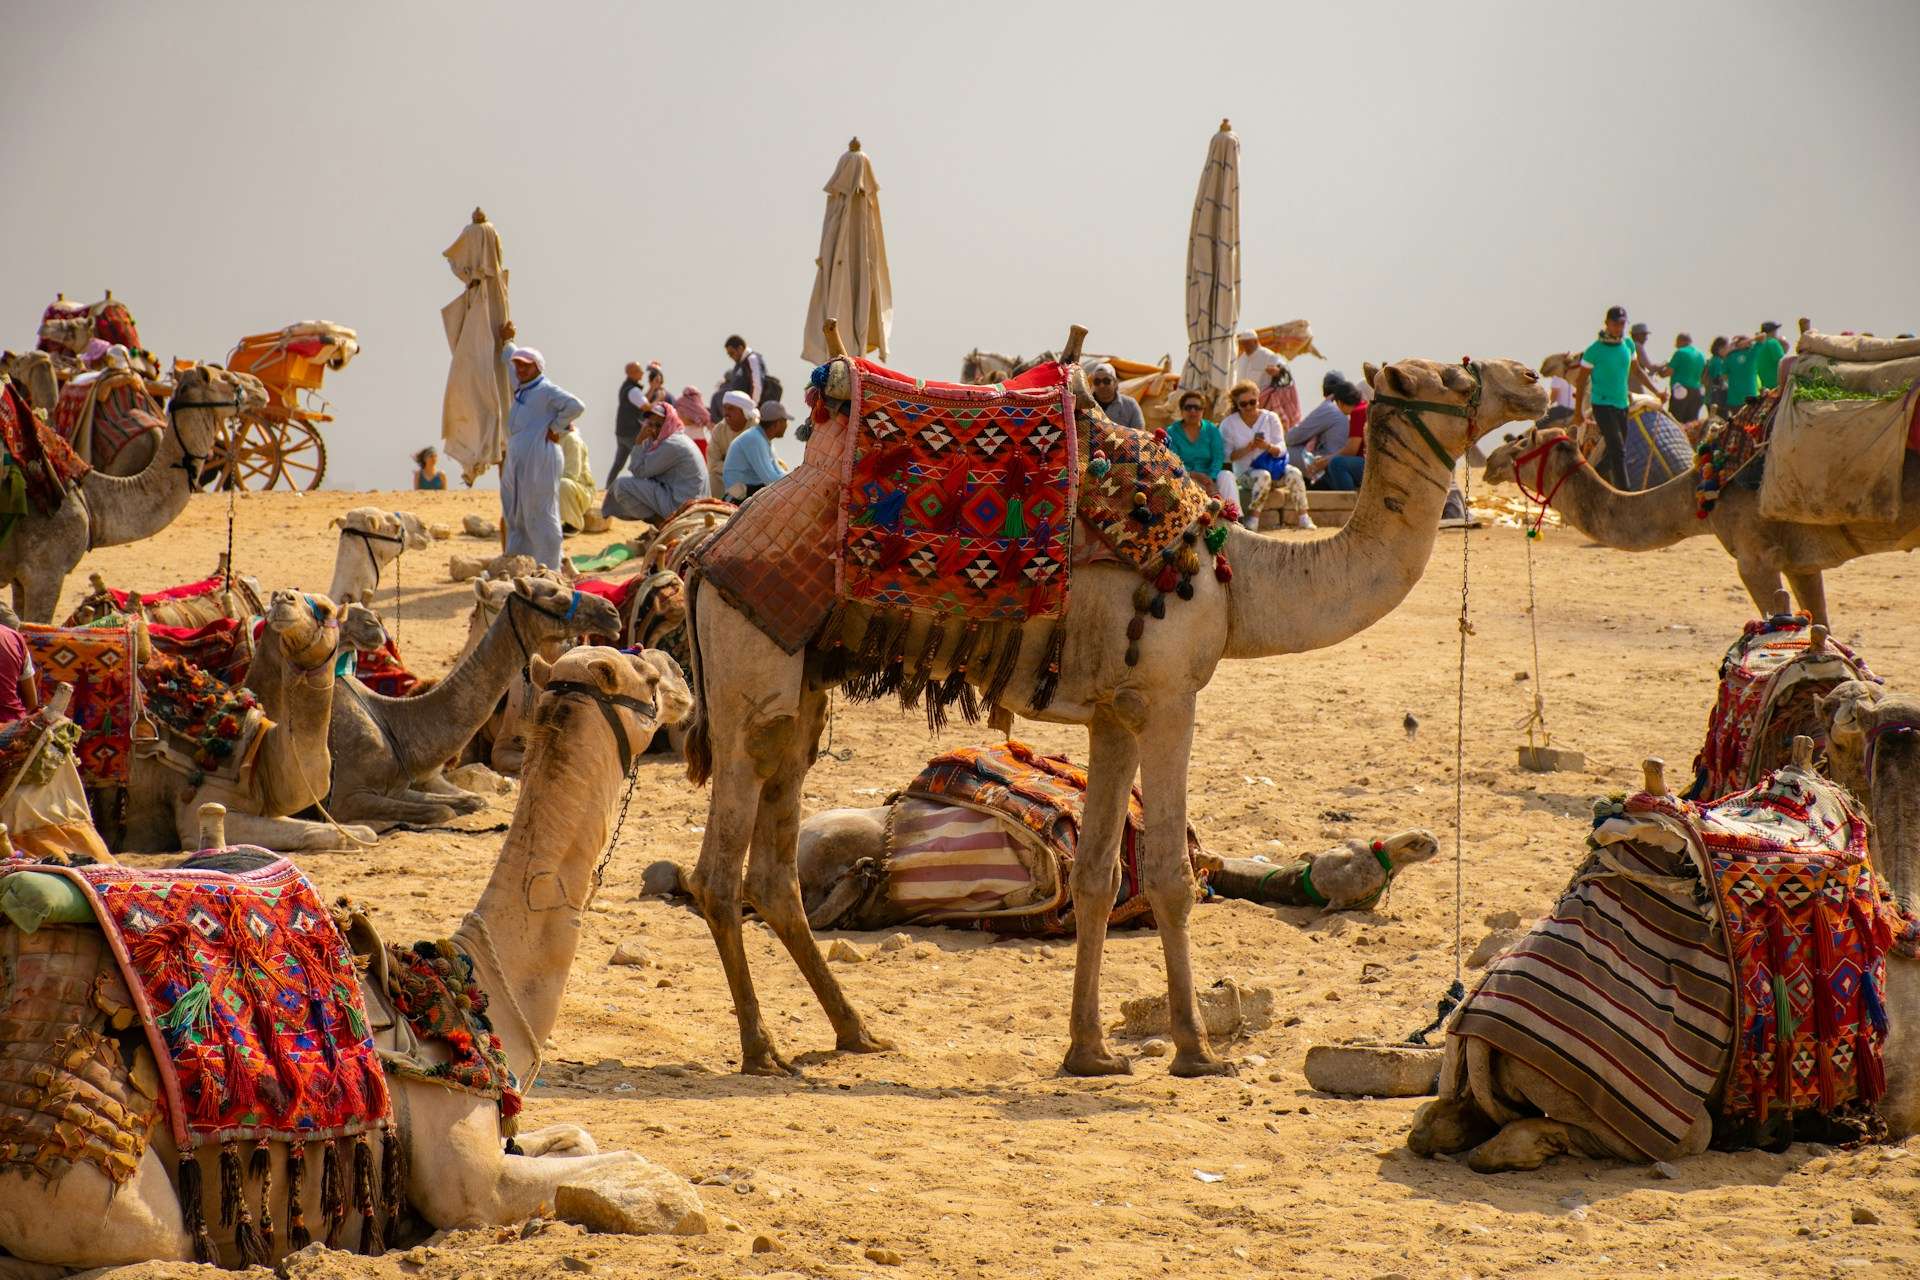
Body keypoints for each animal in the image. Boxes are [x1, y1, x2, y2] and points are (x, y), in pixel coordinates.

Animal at [0, 652, 695, 1274]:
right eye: (645, 673)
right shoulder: (473, 1184)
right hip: (102, 1183)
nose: (683, 676)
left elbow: (581, 1136)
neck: (479, 990)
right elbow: (629, 1167)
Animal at [326, 579, 618, 832]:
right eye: (557, 596)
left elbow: (473, 800)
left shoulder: (402, 785)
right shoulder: (346, 798)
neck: (395, 723)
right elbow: (442, 811)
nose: (611, 611)